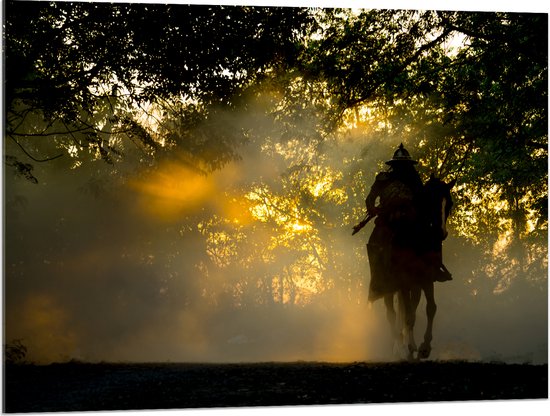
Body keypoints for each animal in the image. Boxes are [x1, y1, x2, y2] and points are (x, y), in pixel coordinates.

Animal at [384, 174, 458, 360]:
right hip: (389, 287)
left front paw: (424, 347)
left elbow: (430, 308)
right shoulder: (403, 281)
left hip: (415, 287)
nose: (440, 233)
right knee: (392, 314)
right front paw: (408, 348)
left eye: (450, 203)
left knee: (409, 309)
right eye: (429, 200)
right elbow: (407, 316)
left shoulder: (426, 278)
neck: (417, 239)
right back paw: (399, 348)